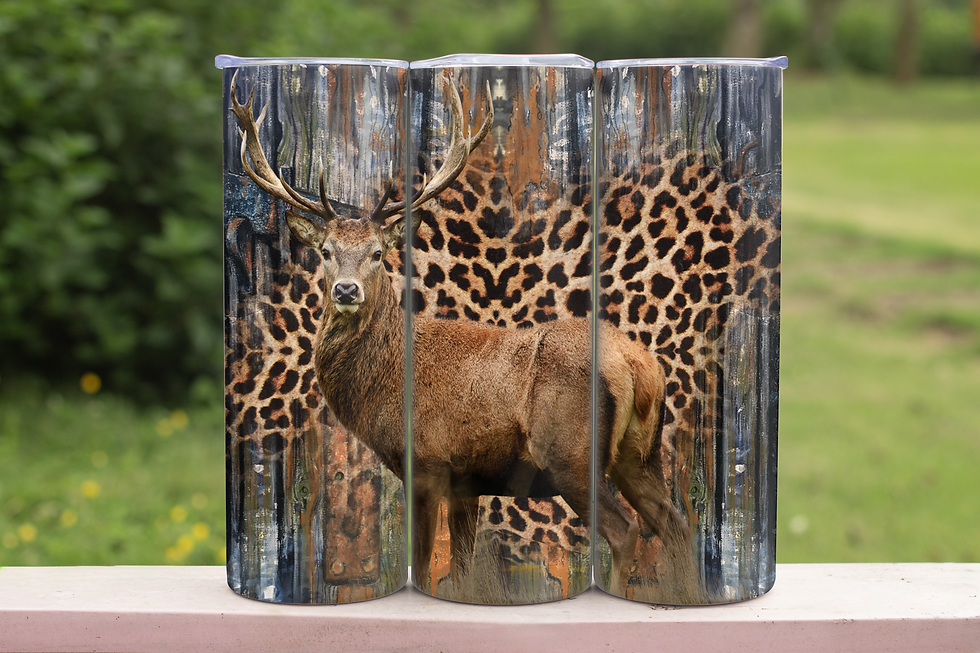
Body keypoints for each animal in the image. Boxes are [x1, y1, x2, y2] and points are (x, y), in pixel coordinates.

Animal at [229, 70, 697, 598]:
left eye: (377, 253)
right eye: (326, 251)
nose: (346, 289)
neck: (386, 381)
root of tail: (638, 364)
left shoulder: (427, 461)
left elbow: (424, 560)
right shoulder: (466, 482)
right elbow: (463, 568)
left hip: (571, 455)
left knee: (626, 530)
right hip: (641, 453)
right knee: (676, 524)